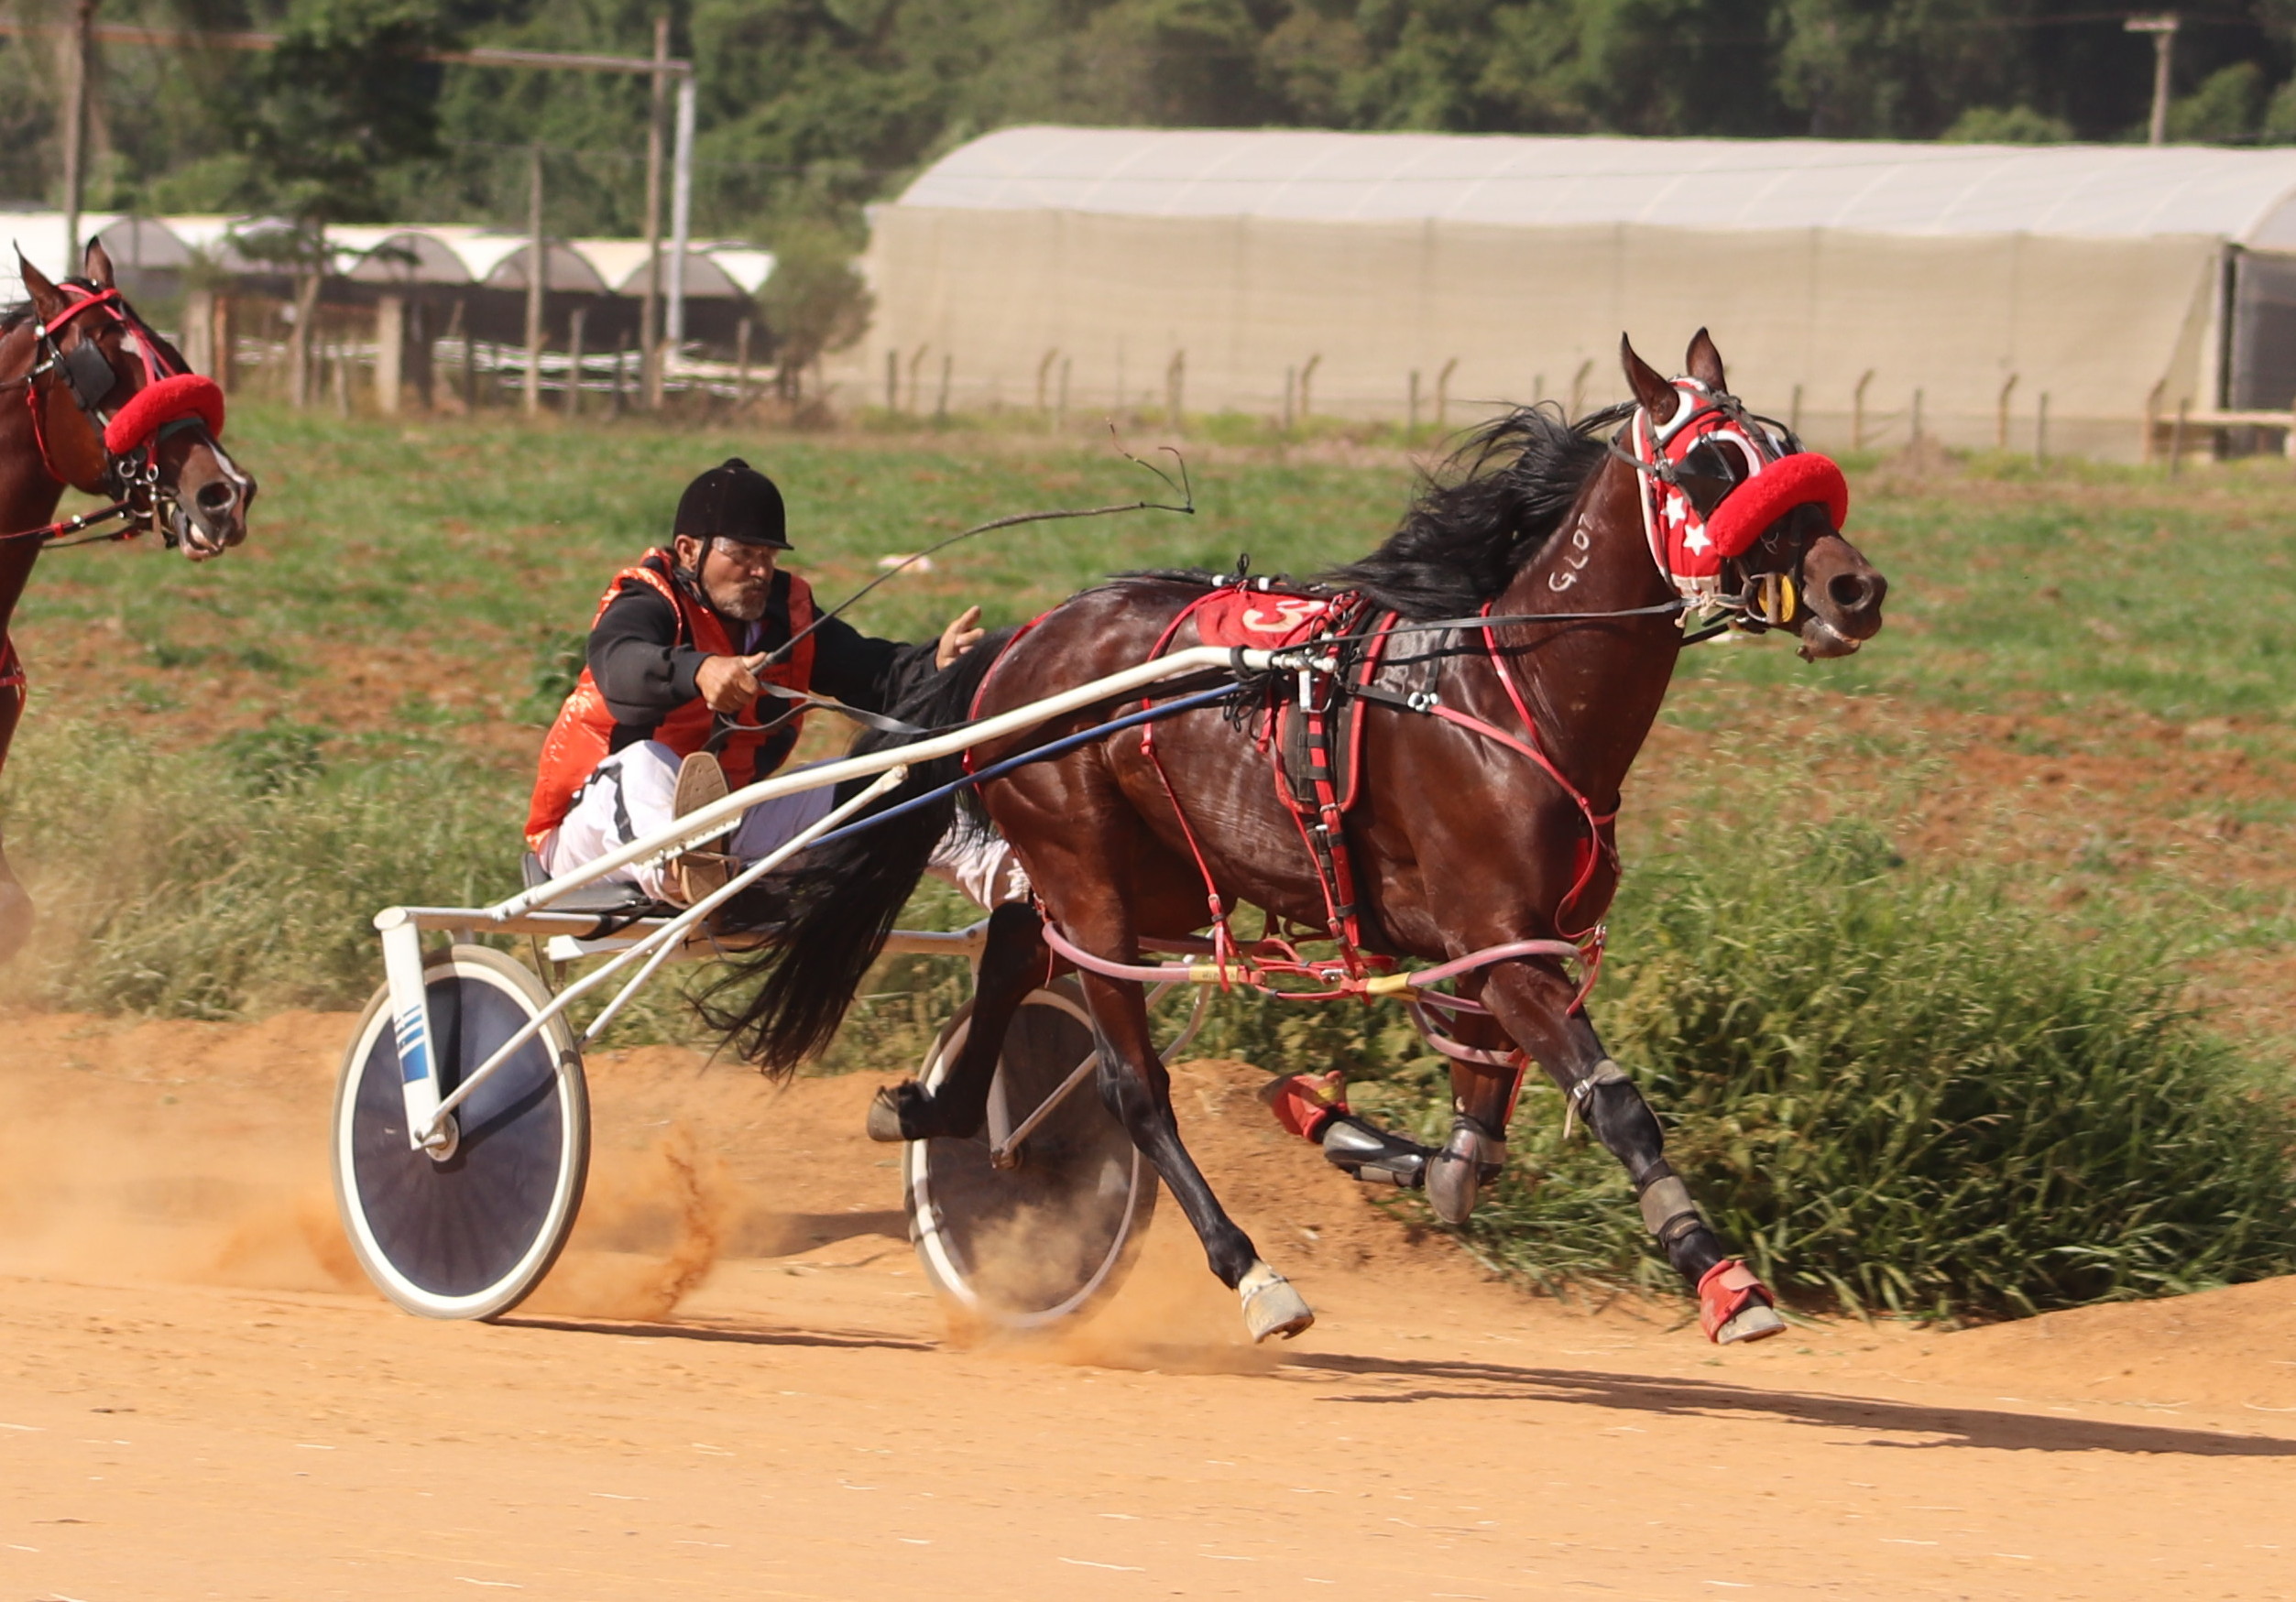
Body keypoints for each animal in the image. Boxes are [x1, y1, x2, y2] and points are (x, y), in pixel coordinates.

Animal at [719, 330, 1886, 1345]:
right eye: (1707, 466)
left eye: (1784, 446)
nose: (1856, 588)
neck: (1514, 695)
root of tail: (1025, 639)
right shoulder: (1501, 944)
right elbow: (1615, 1105)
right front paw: (1722, 1277)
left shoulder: (1483, 954)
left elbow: (1467, 1158)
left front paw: (1327, 1119)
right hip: (1088, 869)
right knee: (1130, 1087)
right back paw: (1252, 1273)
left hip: (1153, 876)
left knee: (1013, 945)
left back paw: (937, 1111)